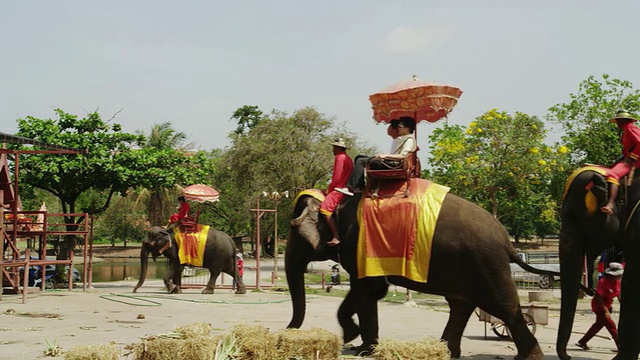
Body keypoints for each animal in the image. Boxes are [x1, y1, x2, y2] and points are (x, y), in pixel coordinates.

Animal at [284, 184, 556, 358]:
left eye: (294, 234)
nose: (288, 330)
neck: (336, 202)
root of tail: (506, 240)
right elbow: (373, 293)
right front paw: (364, 350)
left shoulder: (358, 243)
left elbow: (365, 288)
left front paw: (351, 337)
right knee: (461, 303)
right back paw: (445, 352)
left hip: (487, 263)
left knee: (503, 307)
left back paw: (528, 357)